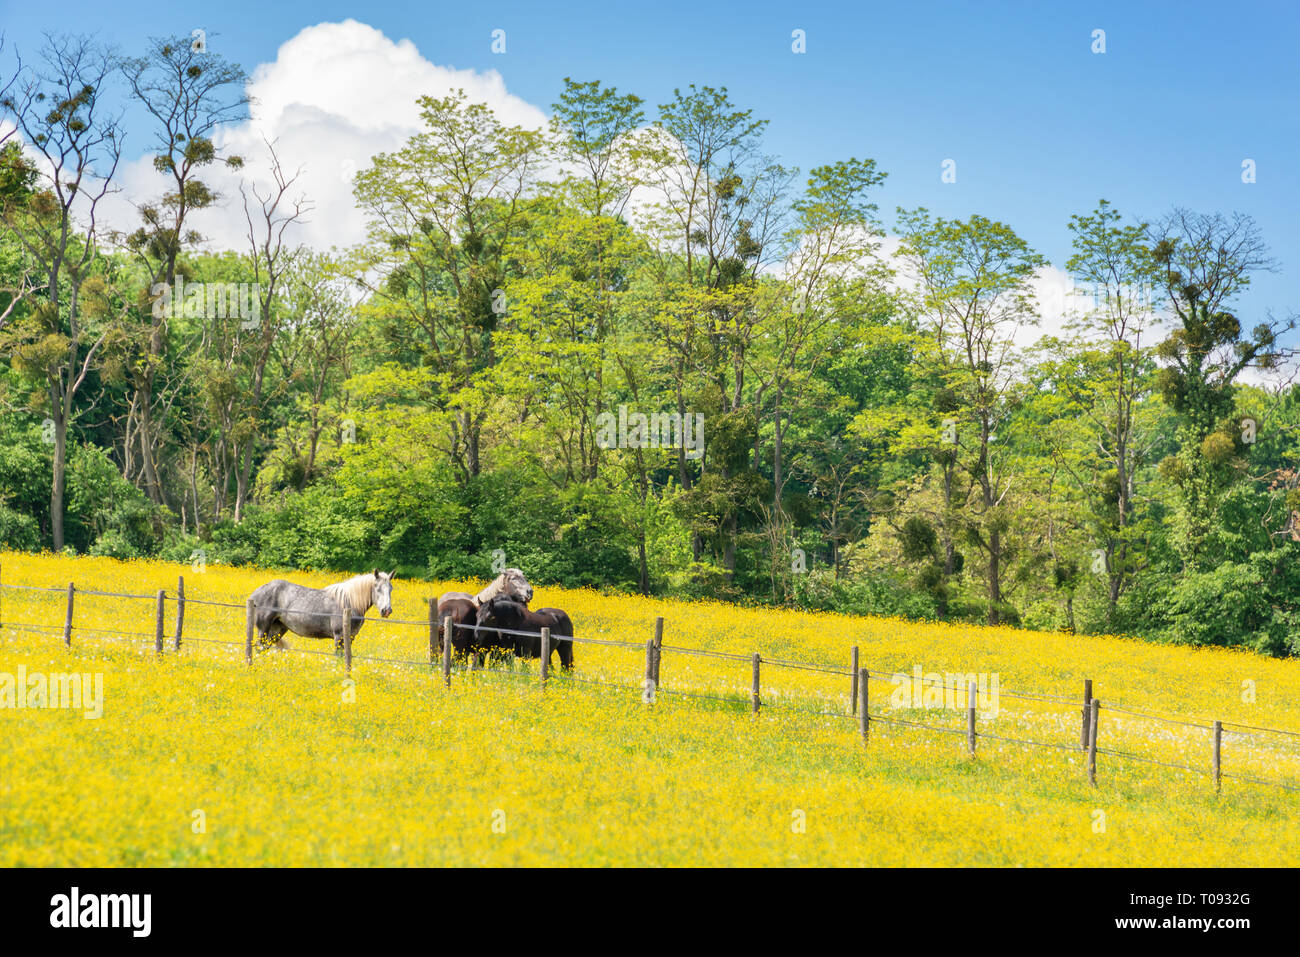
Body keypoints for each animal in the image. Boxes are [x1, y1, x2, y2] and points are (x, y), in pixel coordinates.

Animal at [249, 570, 394, 653]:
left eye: (391, 588)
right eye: (377, 588)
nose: (386, 610)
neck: (349, 602)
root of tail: (255, 594)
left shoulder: (350, 637)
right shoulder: (339, 636)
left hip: (277, 629)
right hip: (263, 629)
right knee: (259, 647)